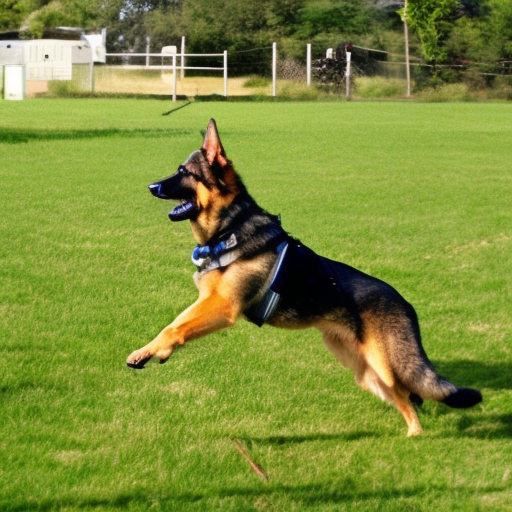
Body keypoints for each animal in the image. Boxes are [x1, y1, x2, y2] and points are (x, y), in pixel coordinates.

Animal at [126, 119, 482, 436]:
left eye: (184, 173)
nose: (150, 187)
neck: (230, 227)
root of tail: (406, 304)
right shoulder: (208, 302)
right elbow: (177, 323)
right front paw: (153, 351)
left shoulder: (224, 307)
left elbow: (174, 327)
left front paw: (149, 351)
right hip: (366, 371)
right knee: (409, 397)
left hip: (383, 366)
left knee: (410, 400)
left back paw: (414, 438)